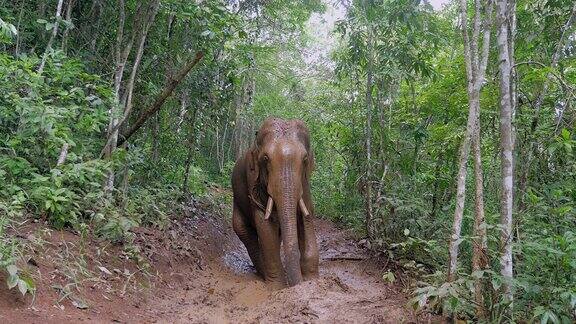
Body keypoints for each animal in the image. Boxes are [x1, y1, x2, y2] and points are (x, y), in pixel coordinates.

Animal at [231, 117, 320, 288]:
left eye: (305, 159)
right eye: (265, 158)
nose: (296, 284)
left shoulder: (304, 183)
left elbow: (306, 215)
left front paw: (311, 280)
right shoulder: (252, 178)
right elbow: (264, 223)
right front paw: (278, 288)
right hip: (236, 201)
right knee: (244, 231)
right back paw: (263, 274)